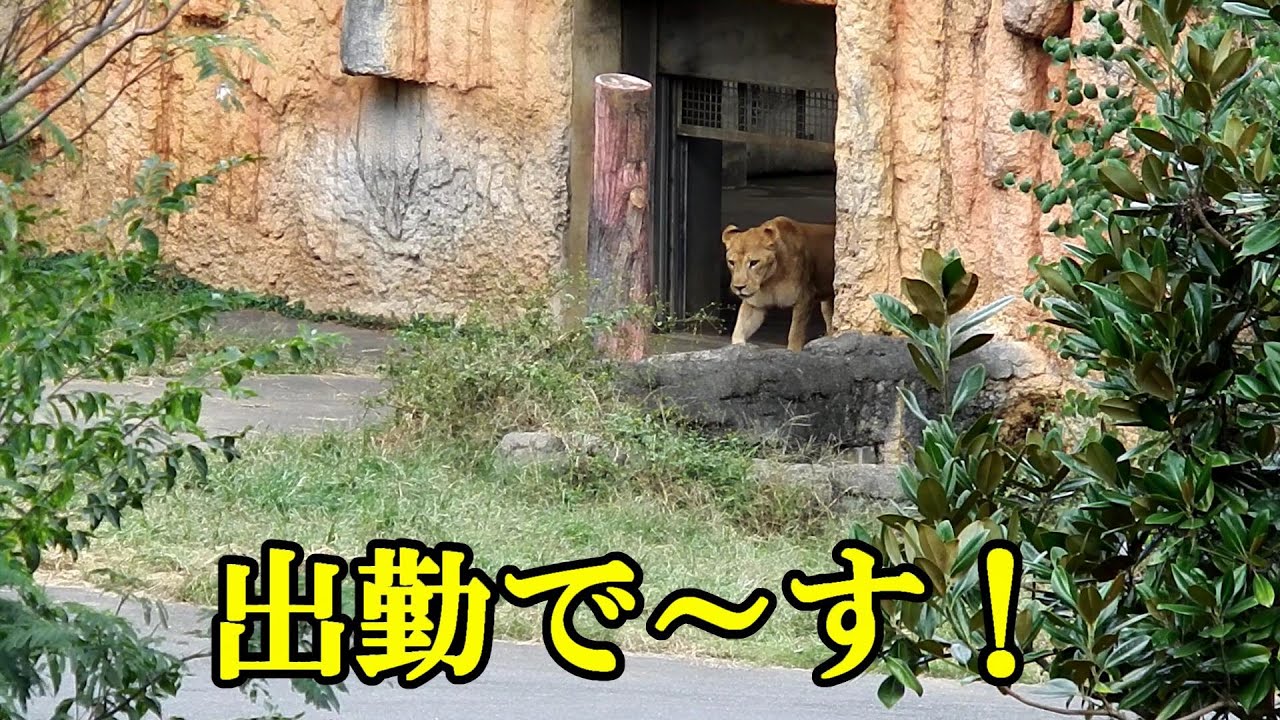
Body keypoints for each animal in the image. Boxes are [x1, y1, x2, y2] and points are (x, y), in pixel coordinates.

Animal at [722, 216, 836, 352]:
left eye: (754, 262)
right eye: (731, 262)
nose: (739, 287)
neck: (770, 280)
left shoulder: (804, 299)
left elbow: (795, 334)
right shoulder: (755, 305)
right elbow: (739, 330)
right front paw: (738, 347)